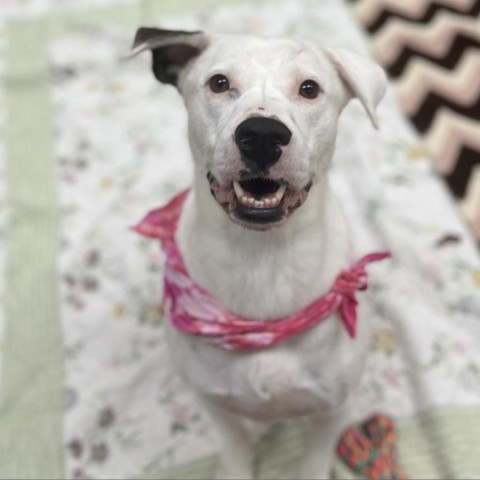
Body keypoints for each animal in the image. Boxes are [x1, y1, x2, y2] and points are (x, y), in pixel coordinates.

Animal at [133, 28, 388, 478]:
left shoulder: (332, 409)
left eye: (309, 88)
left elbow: (315, 458)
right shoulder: (215, 403)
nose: (263, 134)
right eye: (219, 83)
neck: (263, 259)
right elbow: (235, 447)